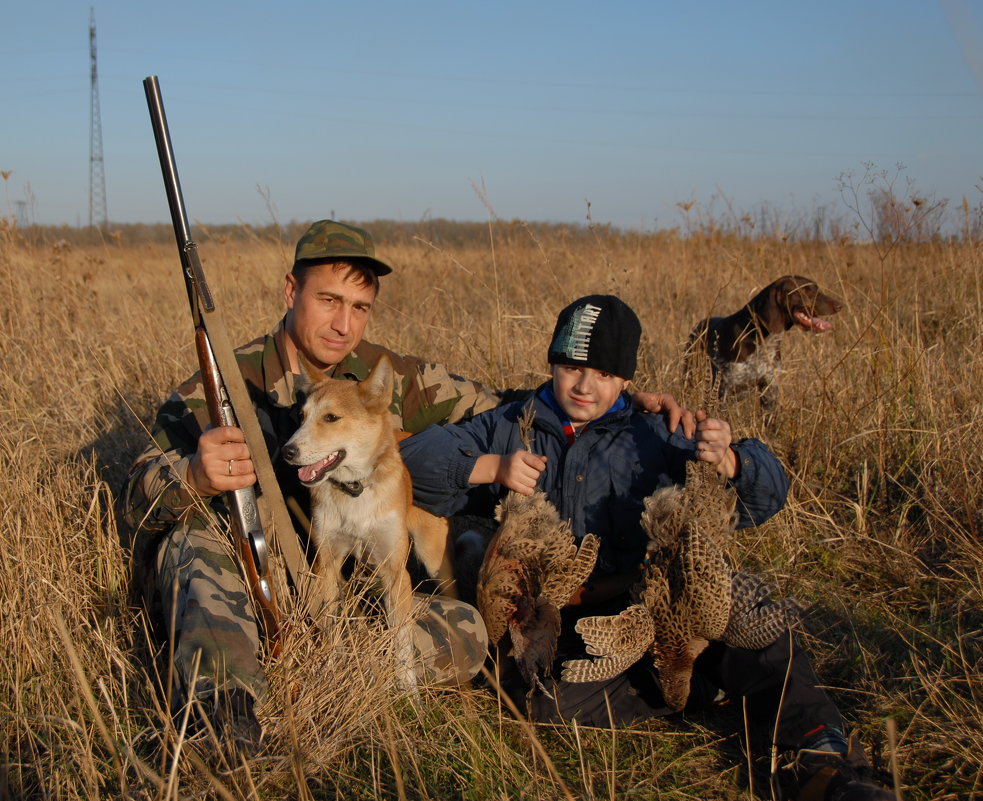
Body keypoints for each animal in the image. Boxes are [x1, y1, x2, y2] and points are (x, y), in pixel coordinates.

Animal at [282, 354, 456, 688]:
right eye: (301, 417)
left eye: (331, 418)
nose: (287, 451)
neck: (355, 491)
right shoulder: (327, 564)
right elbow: (331, 627)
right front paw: (331, 670)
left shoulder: (395, 572)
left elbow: (402, 641)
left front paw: (408, 690)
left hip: (434, 559)